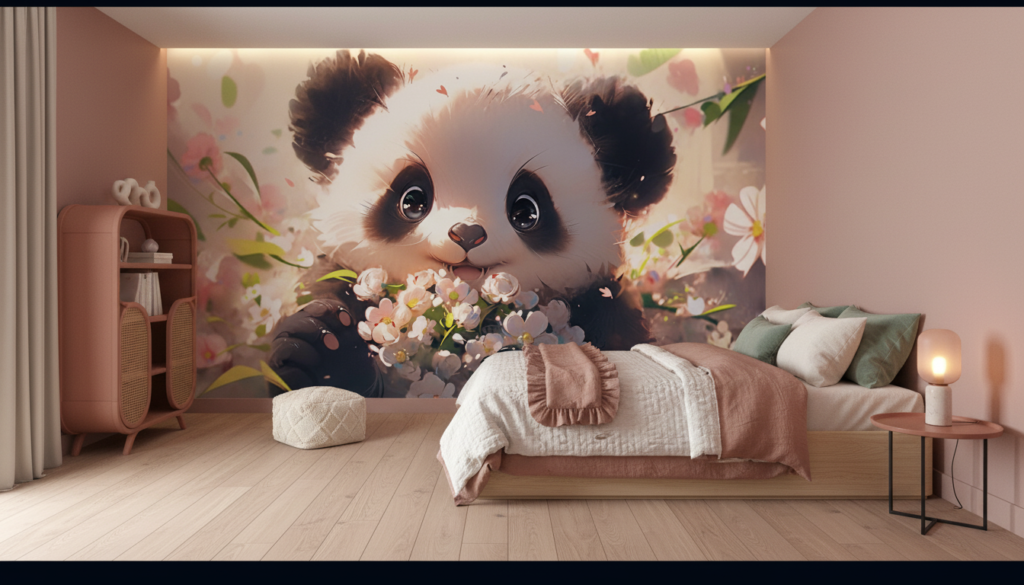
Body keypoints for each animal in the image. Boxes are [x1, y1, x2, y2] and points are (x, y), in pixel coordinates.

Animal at [267, 49, 677, 397]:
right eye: (412, 199)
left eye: (526, 210)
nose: (467, 234)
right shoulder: (342, 280)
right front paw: (323, 351)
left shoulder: (599, 300)